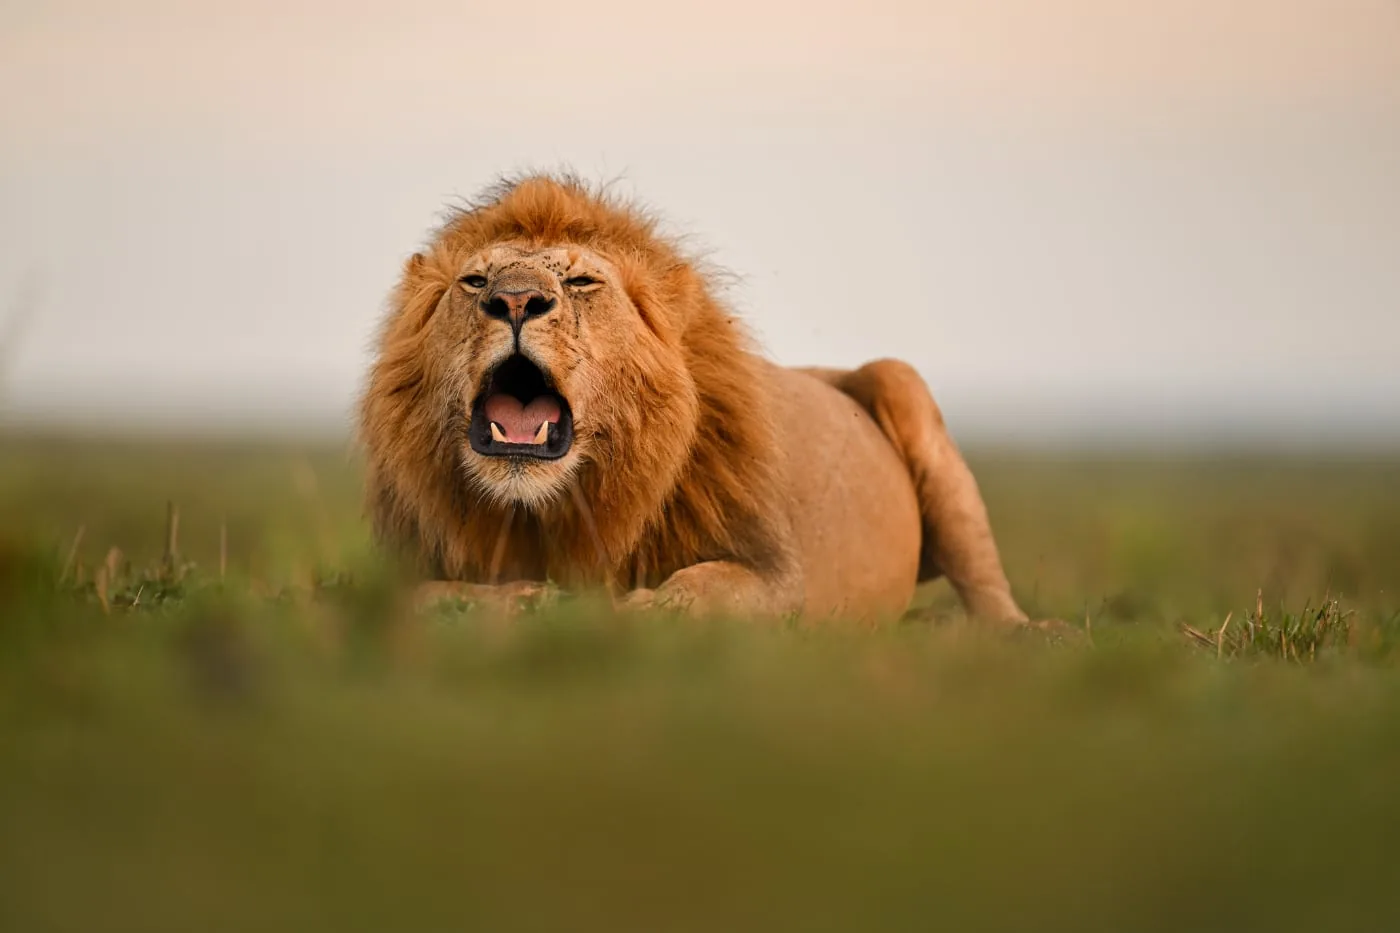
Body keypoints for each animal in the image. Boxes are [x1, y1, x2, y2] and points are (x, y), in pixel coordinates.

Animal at [359, 174, 1028, 623]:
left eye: (582, 281)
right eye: (475, 281)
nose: (517, 299)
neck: (549, 509)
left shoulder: (774, 570)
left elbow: (709, 587)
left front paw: (641, 610)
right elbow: (429, 595)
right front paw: (524, 598)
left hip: (901, 383)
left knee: (987, 586)